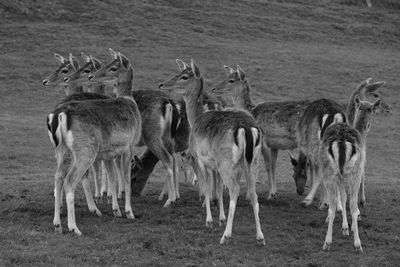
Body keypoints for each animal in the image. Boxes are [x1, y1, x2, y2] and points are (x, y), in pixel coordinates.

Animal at [52, 56, 141, 234]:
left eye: (113, 67)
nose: (92, 76)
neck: (131, 102)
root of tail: (63, 115)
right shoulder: (129, 147)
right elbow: (126, 178)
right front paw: (129, 212)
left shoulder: (109, 153)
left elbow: (113, 178)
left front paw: (116, 210)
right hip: (85, 151)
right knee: (70, 181)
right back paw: (74, 228)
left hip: (63, 151)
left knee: (58, 177)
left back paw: (57, 224)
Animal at [159, 60, 266, 247]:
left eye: (184, 76)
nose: (162, 84)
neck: (196, 118)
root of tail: (246, 129)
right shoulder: (215, 165)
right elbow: (218, 189)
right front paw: (220, 218)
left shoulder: (200, 159)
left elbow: (207, 186)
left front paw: (209, 221)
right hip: (252, 161)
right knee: (253, 193)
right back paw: (260, 236)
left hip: (227, 161)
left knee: (235, 190)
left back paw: (226, 236)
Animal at [318, 96, 380, 253]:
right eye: (373, 109)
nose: (368, 125)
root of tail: (341, 141)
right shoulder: (358, 170)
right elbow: (347, 198)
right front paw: (350, 227)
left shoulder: (340, 177)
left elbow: (342, 197)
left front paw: (344, 227)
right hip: (354, 173)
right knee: (352, 203)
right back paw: (357, 244)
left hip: (329, 172)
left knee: (333, 202)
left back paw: (327, 242)